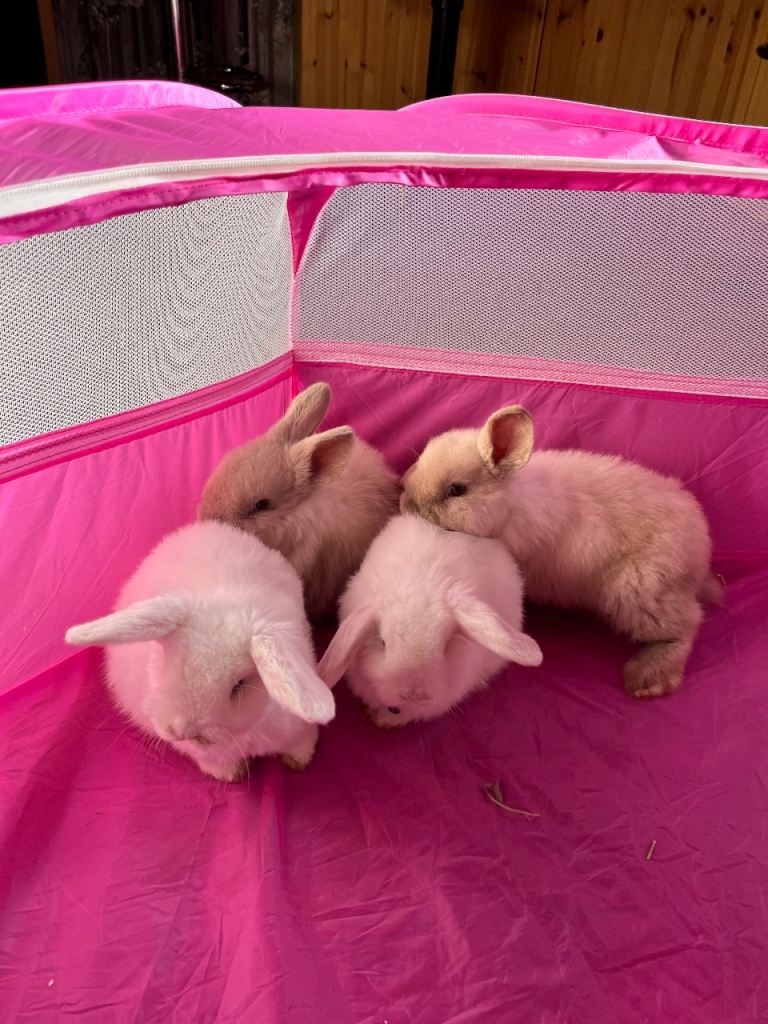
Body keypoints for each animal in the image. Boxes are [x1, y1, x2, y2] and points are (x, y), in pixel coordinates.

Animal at [65, 520, 335, 782]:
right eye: (169, 662)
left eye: (239, 686)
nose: (184, 731)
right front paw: (231, 775)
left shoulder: (297, 727)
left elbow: (302, 742)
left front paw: (297, 760)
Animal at [400, 403, 724, 700]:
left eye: (456, 490)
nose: (406, 502)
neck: (510, 503)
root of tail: (700, 553)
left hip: (641, 591)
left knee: (686, 626)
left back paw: (648, 680)